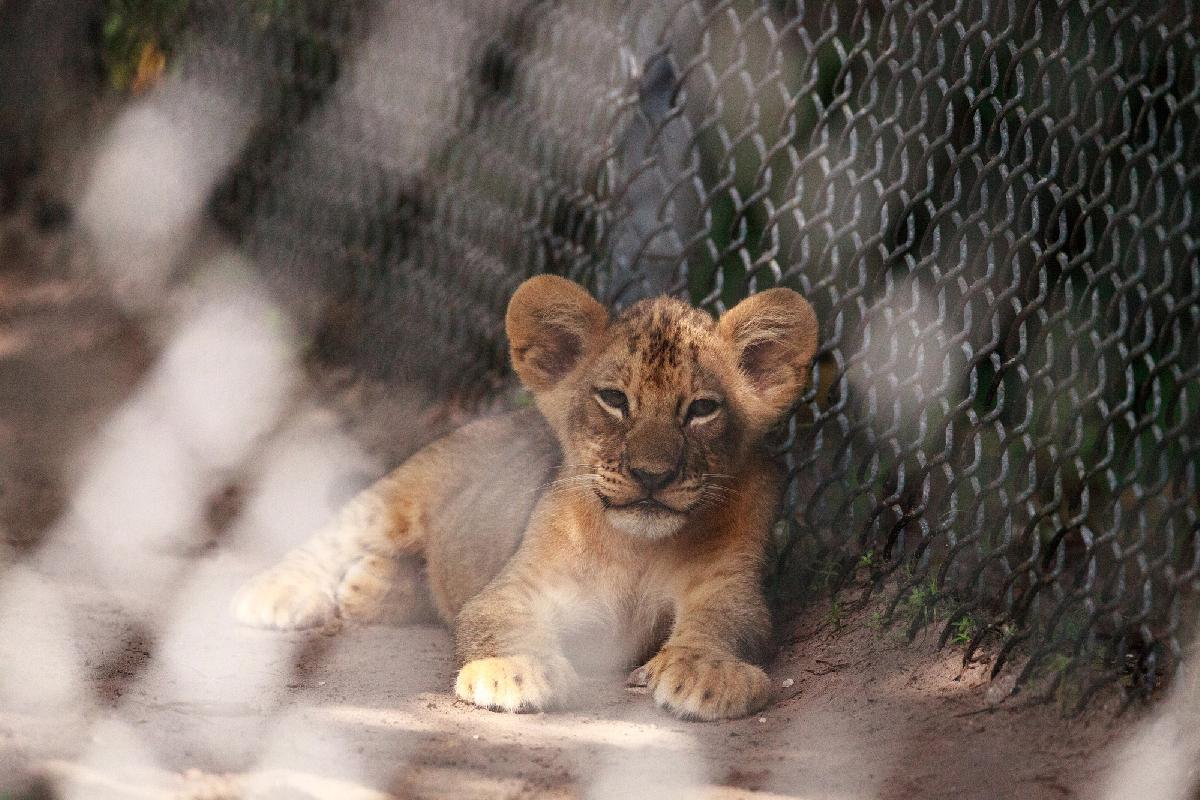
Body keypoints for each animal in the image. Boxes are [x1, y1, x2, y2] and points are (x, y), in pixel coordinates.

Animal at [232, 275, 819, 720]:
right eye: (613, 399)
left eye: (701, 409)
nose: (650, 475)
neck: (637, 547)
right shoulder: (518, 584)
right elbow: (494, 619)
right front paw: (513, 670)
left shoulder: (729, 583)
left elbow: (726, 624)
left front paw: (705, 670)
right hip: (411, 487)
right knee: (340, 532)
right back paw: (278, 592)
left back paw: (372, 587)